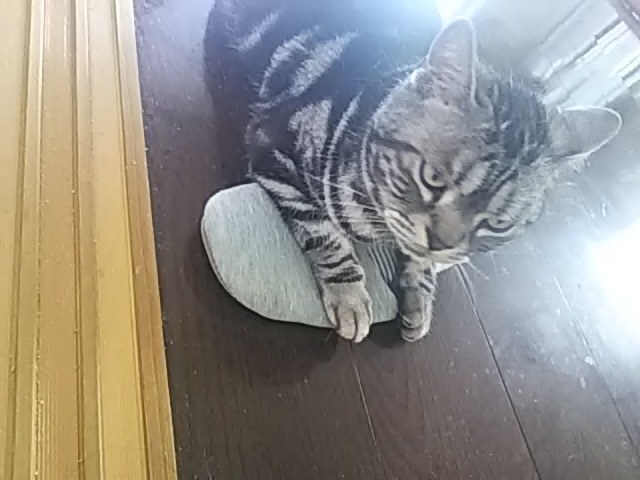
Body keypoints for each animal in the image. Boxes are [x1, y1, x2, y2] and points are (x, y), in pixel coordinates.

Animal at [206, 1, 621, 343]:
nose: (440, 243)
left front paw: (419, 295)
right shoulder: (271, 146)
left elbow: (419, 263)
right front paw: (350, 297)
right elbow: (324, 234)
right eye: (432, 178)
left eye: (498, 225)